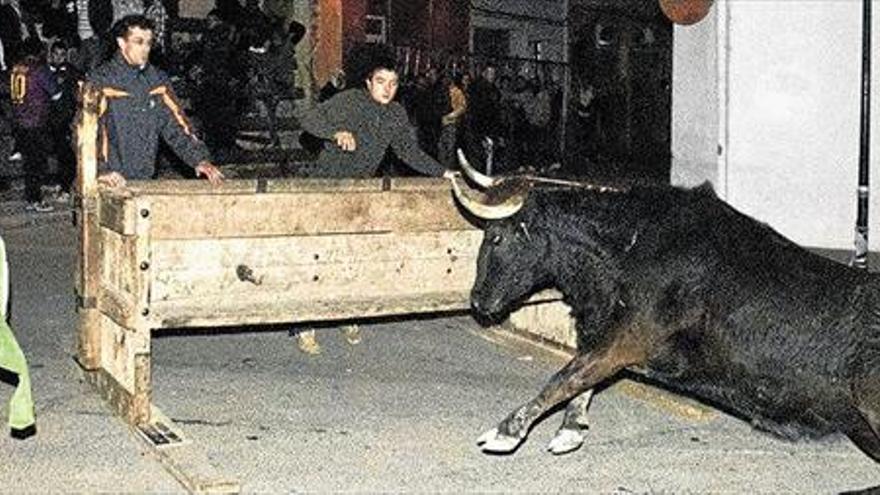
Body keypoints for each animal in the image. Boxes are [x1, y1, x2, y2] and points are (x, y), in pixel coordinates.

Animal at [450, 170, 880, 464]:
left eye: (496, 236)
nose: (477, 300)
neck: (624, 251)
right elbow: (582, 377)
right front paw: (571, 429)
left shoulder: (630, 339)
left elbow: (568, 376)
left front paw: (506, 431)